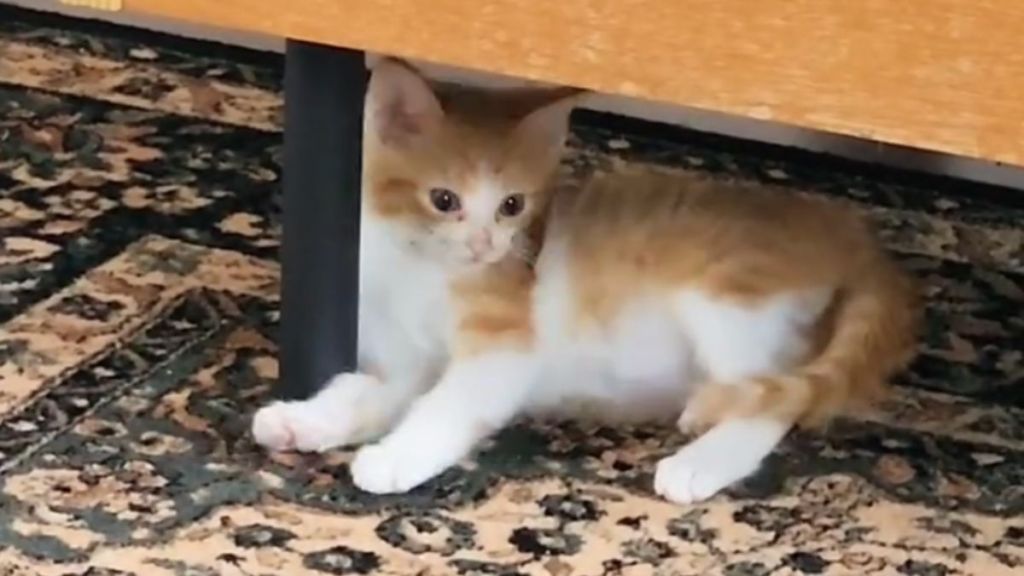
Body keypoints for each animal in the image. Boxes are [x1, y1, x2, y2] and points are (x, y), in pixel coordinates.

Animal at [253, 56, 921, 500]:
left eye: (512, 205)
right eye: (444, 200)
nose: (486, 245)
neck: (417, 268)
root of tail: (848, 234)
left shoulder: (504, 345)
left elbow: (449, 403)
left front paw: (395, 458)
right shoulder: (401, 362)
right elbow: (361, 390)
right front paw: (302, 420)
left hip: (729, 298)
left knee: (769, 405)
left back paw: (698, 465)